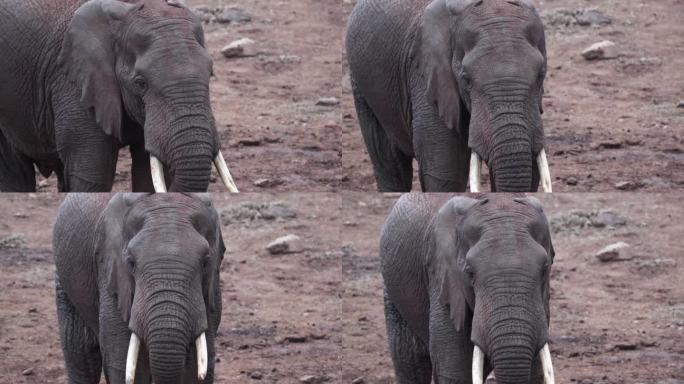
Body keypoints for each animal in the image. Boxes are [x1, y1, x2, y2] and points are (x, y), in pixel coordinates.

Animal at [0, 0, 238, 192]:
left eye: (211, 73)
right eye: (140, 83)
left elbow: (147, 175)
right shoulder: (74, 84)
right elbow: (93, 176)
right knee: (15, 174)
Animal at [54, 195, 224, 384]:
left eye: (205, 262)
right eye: (131, 263)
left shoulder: (210, 293)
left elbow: (197, 367)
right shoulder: (111, 276)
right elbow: (123, 364)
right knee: (80, 352)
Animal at [348, 0, 552, 192]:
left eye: (541, 75)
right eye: (466, 79)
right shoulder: (426, 78)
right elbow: (446, 174)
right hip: (362, 82)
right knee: (389, 164)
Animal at [380, 195, 556, 384]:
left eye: (545, 269)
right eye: (470, 272)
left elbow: (535, 373)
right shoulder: (443, 280)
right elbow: (456, 372)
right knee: (409, 358)